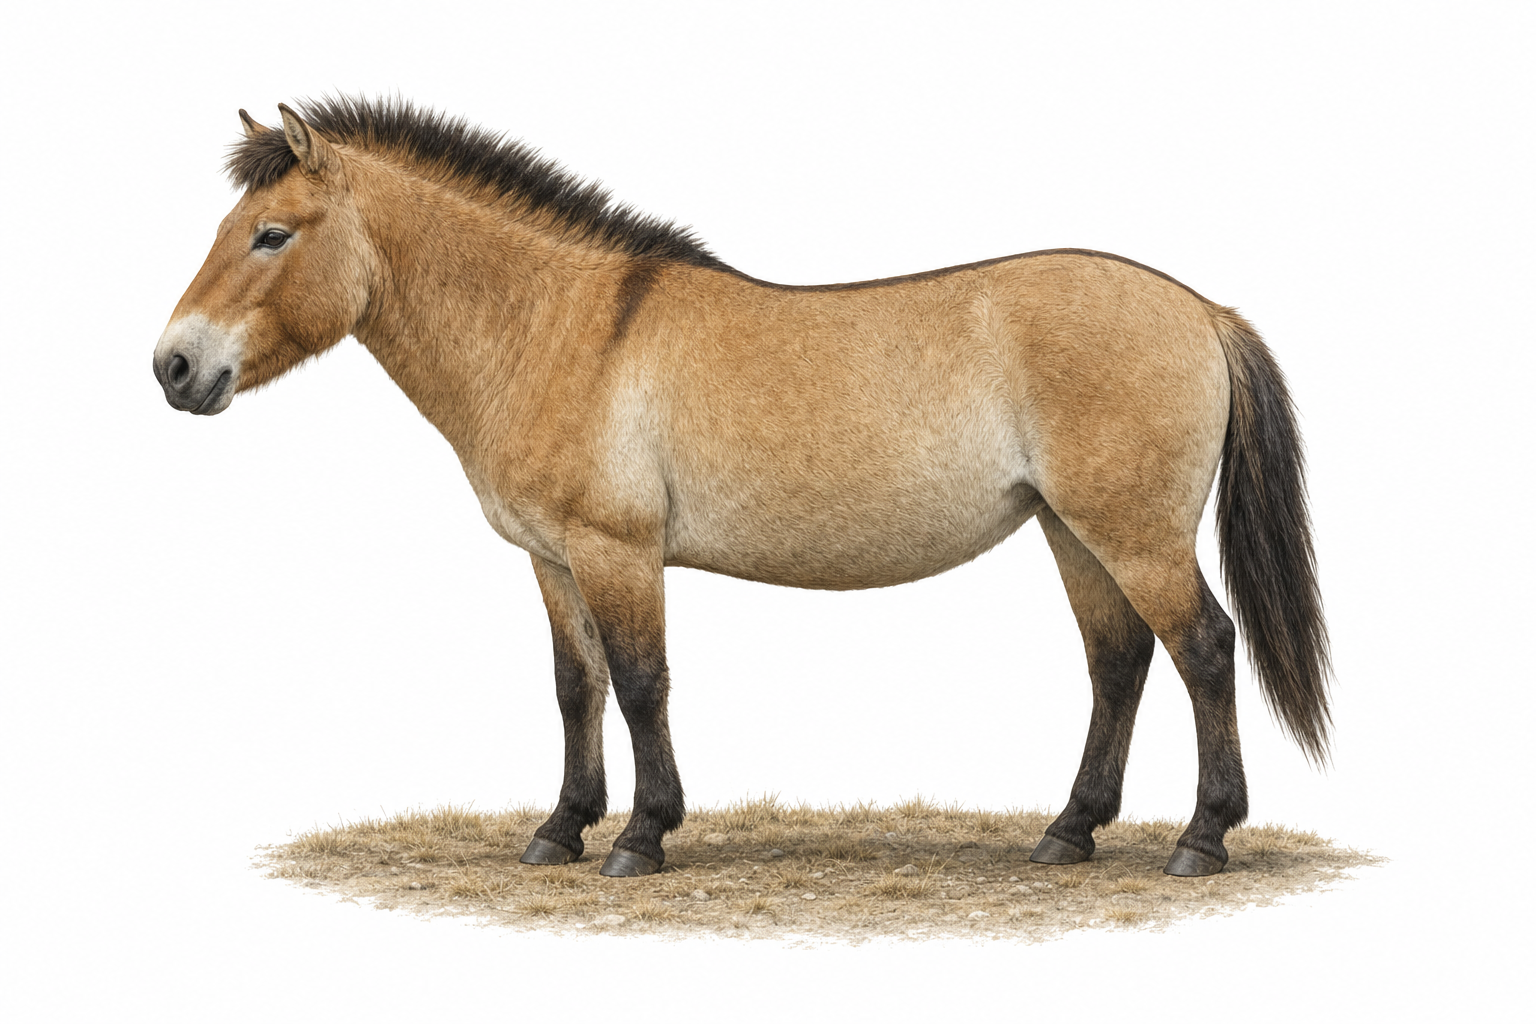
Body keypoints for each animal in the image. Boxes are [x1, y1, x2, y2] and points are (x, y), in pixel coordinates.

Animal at [153, 97, 1330, 878]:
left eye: (271, 233)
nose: (173, 366)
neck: (557, 327)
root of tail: (1201, 309)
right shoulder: (552, 559)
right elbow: (575, 687)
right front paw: (558, 830)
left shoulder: (618, 551)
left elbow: (641, 684)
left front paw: (640, 837)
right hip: (1073, 532)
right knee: (1119, 663)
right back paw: (1068, 833)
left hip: (1133, 534)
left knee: (1204, 649)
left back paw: (1201, 839)